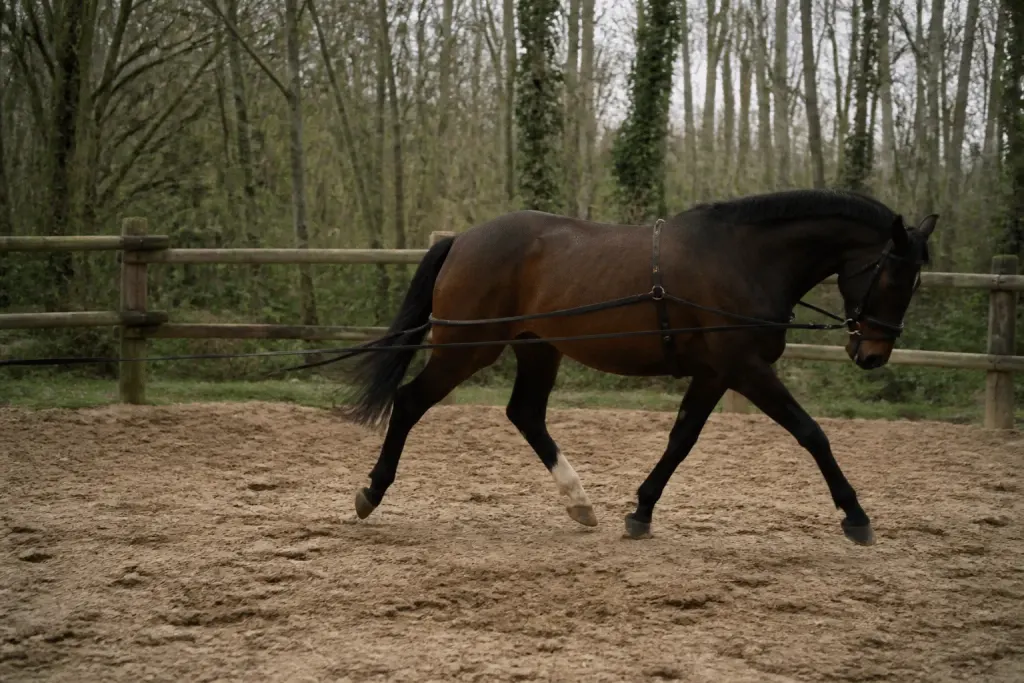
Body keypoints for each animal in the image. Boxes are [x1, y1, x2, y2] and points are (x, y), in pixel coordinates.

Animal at [338, 188, 937, 546]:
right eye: (892, 275)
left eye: (916, 280)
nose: (873, 355)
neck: (744, 259)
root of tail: (462, 239)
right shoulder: (744, 368)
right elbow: (812, 433)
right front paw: (856, 517)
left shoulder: (715, 374)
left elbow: (681, 440)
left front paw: (642, 511)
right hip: (469, 348)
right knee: (410, 402)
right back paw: (371, 493)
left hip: (537, 348)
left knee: (526, 414)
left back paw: (580, 505)